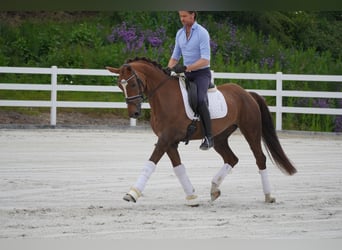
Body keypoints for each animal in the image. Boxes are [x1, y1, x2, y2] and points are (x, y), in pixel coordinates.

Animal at [107, 57, 296, 207]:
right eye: (119, 86)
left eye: (132, 83)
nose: (134, 113)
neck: (164, 97)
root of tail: (247, 93)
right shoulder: (169, 141)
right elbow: (178, 168)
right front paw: (192, 197)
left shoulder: (165, 139)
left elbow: (150, 163)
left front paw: (132, 193)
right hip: (220, 138)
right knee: (231, 158)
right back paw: (214, 190)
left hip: (251, 131)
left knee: (260, 158)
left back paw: (269, 196)